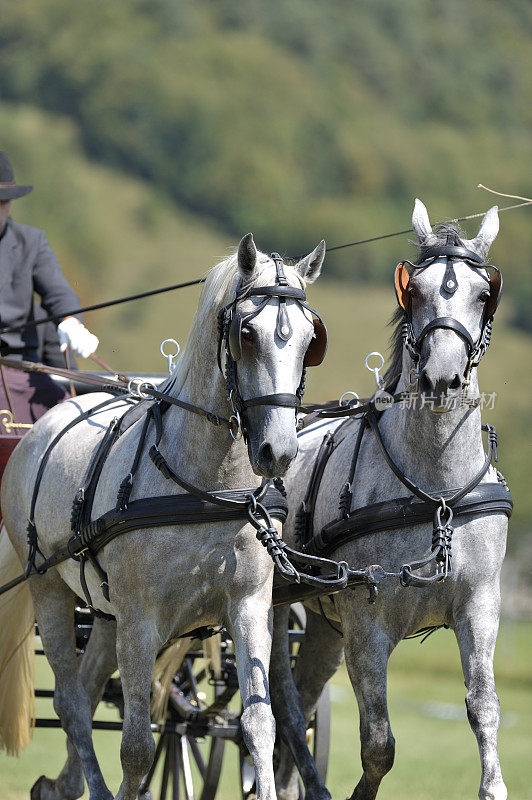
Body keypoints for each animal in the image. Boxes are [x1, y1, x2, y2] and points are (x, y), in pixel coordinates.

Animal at [0, 233, 324, 800]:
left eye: (311, 339)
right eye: (245, 334)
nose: (279, 451)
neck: (208, 487)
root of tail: (41, 426)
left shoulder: (249, 605)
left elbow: (260, 725)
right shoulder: (141, 617)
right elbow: (136, 747)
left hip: (105, 612)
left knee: (87, 686)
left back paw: (62, 785)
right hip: (50, 589)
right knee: (71, 701)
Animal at [272, 202, 510, 800]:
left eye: (483, 293)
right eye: (414, 291)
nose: (442, 378)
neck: (437, 493)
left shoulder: (480, 606)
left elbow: (484, 709)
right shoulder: (367, 625)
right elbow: (379, 743)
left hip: (322, 625)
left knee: (302, 698)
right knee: (281, 702)